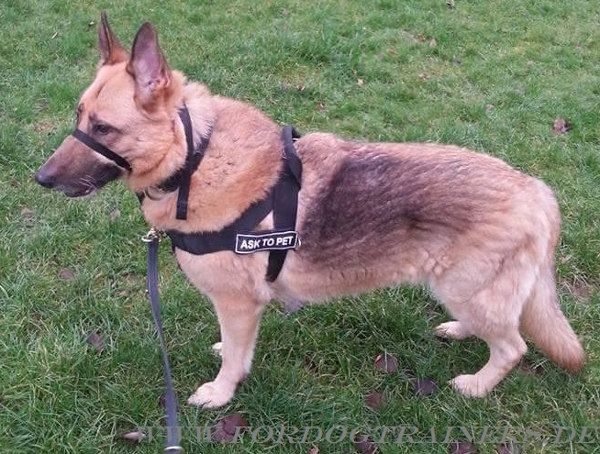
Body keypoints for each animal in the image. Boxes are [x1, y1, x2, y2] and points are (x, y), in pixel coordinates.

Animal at [35, 15, 584, 408]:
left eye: (104, 129)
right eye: (79, 116)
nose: (41, 178)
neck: (194, 157)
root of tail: (538, 190)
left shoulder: (238, 303)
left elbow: (235, 360)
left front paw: (220, 393)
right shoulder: (239, 309)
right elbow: (235, 345)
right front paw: (225, 355)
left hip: (467, 290)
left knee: (513, 346)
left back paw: (476, 384)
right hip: (462, 290)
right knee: (498, 328)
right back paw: (460, 331)